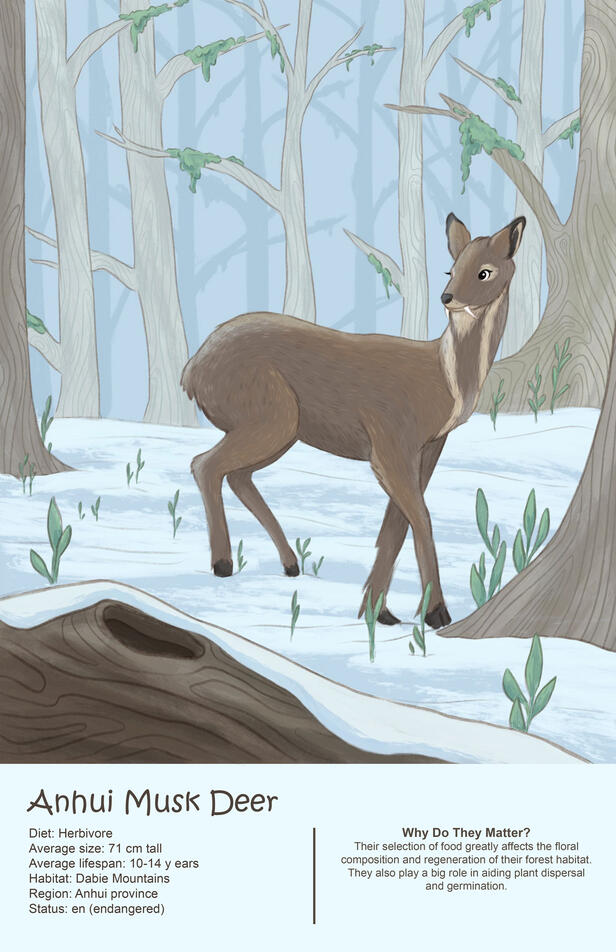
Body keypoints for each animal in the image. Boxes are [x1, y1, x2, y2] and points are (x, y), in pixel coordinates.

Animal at [181, 213, 525, 630]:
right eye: (452, 268)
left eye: (484, 271)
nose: (447, 298)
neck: (444, 379)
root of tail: (192, 371)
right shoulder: (390, 438)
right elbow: (421, 517)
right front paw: (435, 613)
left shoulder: (428, 446)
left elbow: (396, 524)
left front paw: (379, 611)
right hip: (269, 413)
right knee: (205, 464)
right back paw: (223, 563)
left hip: (281, 428)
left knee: (236, 475)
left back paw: (289, 564)